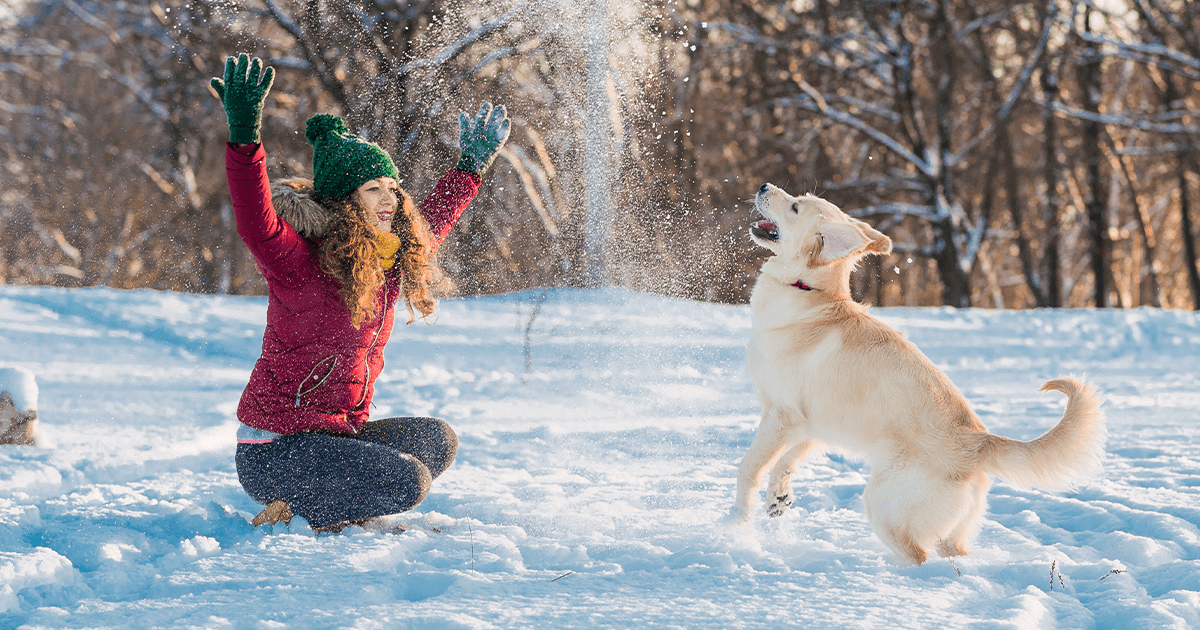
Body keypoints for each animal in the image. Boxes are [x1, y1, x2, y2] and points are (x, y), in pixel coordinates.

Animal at [734, 182, 1108, 564]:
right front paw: (778, 497)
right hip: (951, 532)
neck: (809, 291)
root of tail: (979, 442)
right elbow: (787, 460)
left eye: (795, 207)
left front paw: (738, 525)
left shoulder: (781, 415)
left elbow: (749, 469)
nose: (763, 186)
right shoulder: (813, 425)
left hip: (882, 504)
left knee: (918, 557)